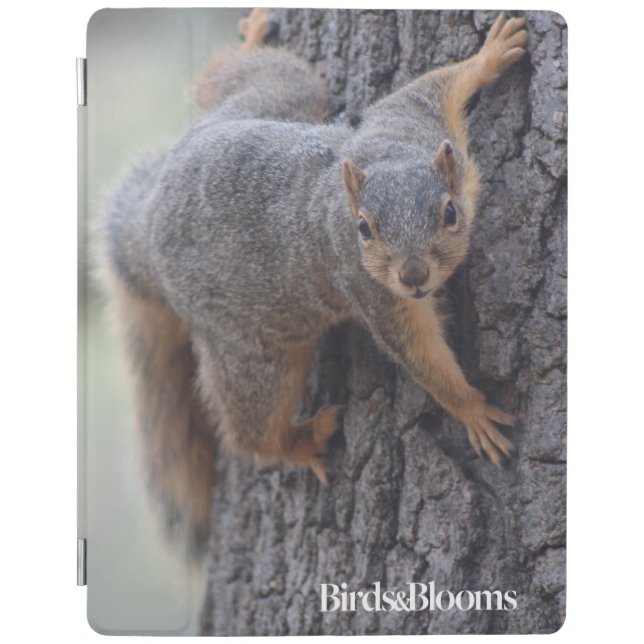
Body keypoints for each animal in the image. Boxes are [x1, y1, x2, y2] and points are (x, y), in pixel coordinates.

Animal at [102, 8, 528, 556]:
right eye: (363, 228)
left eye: (449, 213)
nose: (413, 277)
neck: (387, 160)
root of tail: (150, 220)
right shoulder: (374, 294)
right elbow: (420, 354)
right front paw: (471, 410)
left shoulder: (412, 121)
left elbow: (433, 85)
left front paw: (490, 54)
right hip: (254, 354)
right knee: (251, 429)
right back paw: (299, 442)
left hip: (278, 98)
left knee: (233, 80)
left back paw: (250, 40)